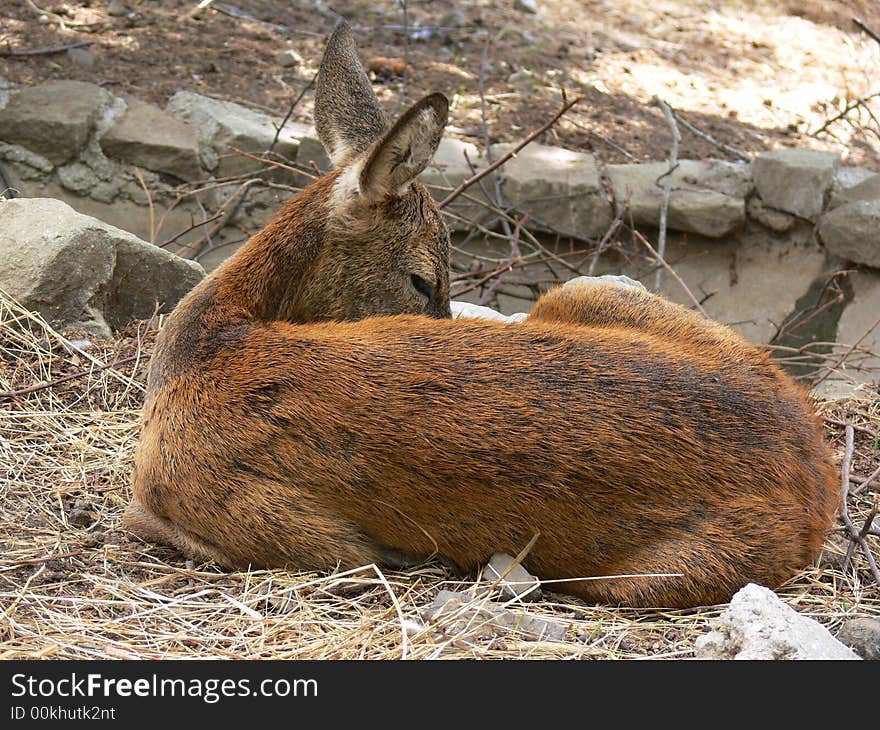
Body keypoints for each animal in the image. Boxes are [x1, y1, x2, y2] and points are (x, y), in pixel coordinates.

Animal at [124, 21, 840, 608]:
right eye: (421, 279)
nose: (444, 320)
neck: (210, 338)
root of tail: (822, 476)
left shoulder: (279, 521)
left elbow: (144, 518)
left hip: (665, 570)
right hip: (587, 290)